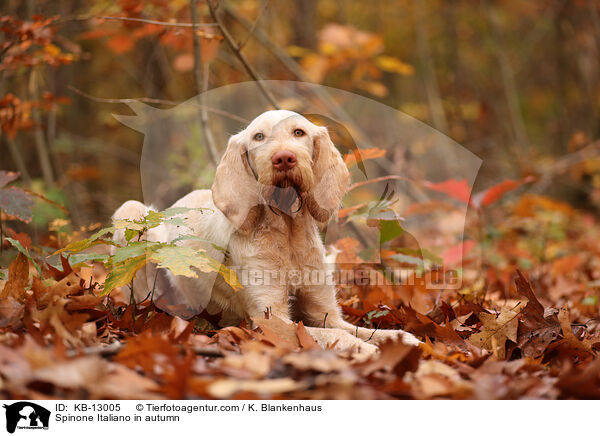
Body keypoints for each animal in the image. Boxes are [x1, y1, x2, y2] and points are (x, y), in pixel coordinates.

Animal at [113, 110, 422, 356]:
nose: (284, 158)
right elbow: (333, 335)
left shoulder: (325, 312)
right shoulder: (268, 319)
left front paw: (405, 339)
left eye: (299, 133)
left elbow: (363, 330)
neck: (287, 234)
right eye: (259, 137)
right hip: (132, 213)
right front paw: (365, 350)